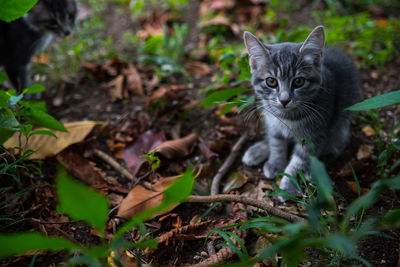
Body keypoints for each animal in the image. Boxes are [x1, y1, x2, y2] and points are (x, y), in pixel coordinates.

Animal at [242, 26, 360, 200]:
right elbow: (276, 142)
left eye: (298, 81)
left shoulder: (314, 136)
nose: (284, 100)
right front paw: (276, 162)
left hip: (341, 126)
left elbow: (299, 160)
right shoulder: (272, 122)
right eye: (271, 81)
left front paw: (288, 185)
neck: (286, 117)